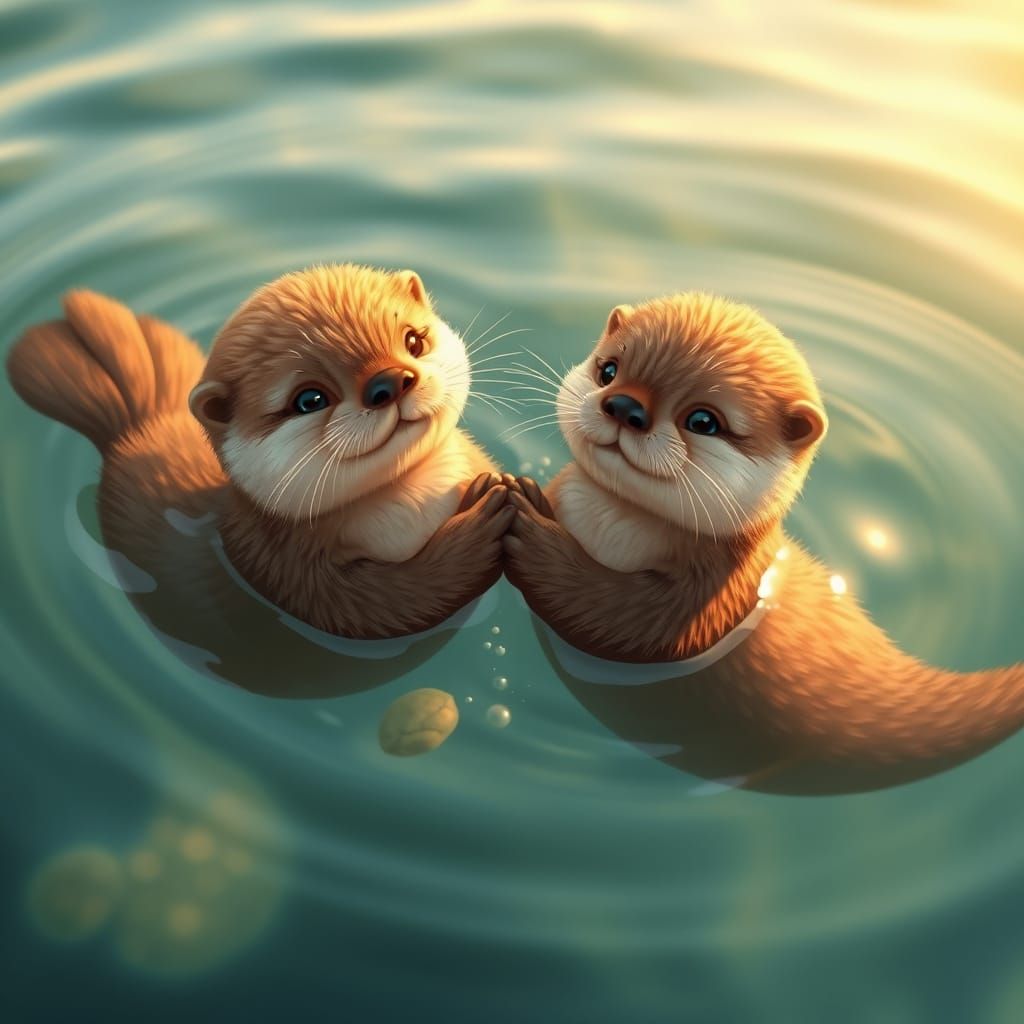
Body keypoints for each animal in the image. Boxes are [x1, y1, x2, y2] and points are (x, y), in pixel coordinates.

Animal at [7, 265, 512, 642]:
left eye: (413, 340)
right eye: (309, 399)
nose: (390, 381)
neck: (416, 505)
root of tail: (141, 422)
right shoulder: (286, 571)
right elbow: (391, 602)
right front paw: (483, 521)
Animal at [503, 294, 1024, 792]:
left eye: (703, 420)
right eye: (608, 370)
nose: (625, 406)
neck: (607, 529)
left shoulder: (710, 601)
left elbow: (619, 620)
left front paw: (528, 527)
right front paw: (520, 491)